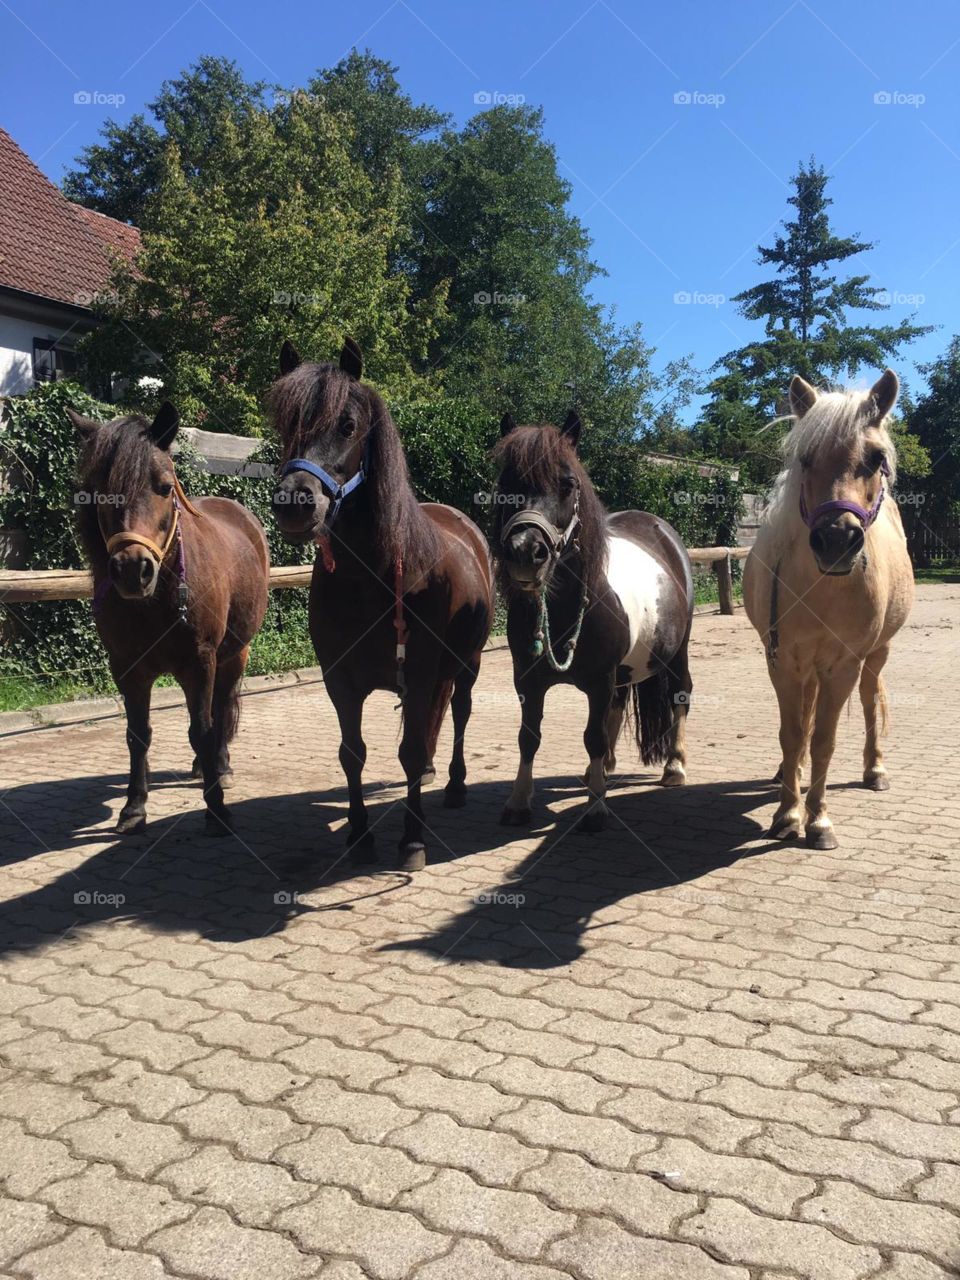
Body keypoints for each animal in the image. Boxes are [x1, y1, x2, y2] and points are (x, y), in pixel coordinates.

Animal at [69, 402, 269, 835]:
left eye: (164, 487)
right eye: (99, 491)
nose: (133, 569)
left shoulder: (201, 660)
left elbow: (204, 728)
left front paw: (217, 809)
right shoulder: (128, 668)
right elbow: (138, 735)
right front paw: (134, 808)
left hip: (235, 653)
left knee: (221, 708)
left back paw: (220, 768)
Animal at [268, 338, 494, 871]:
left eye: (348, 425)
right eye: (284, 423)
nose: (294, 503)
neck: (370, 579)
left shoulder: (421, 672)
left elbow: (408, 752)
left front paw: (412, 840)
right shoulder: (340, 681)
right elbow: (352, 752)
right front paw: (358, 833)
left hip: (468, 663)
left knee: (459, 712)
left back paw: (454, 785)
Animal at [493, 411, 695, 830]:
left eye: (567, 484)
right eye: (506, 484)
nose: (525, 552)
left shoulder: (599, 680)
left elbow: (593, 737)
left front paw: (595, 809)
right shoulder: (527, 681)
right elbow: (529, 737)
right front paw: (518, 803)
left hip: (677, 651)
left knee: (680, 693)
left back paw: (674, 766)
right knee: (616, 707)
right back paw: (600, 771)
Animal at [743, 369, 915, 849]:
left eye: (877, 458)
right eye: (805, 458)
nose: (837, 539)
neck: (822, 588)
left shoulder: (843, 665)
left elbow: (825, 739)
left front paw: (818, 821)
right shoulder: (783, 660)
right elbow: (793, 733)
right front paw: (788, 813)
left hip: (875, 656)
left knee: (870, 700)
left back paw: (874, 770)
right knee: (805, 713)